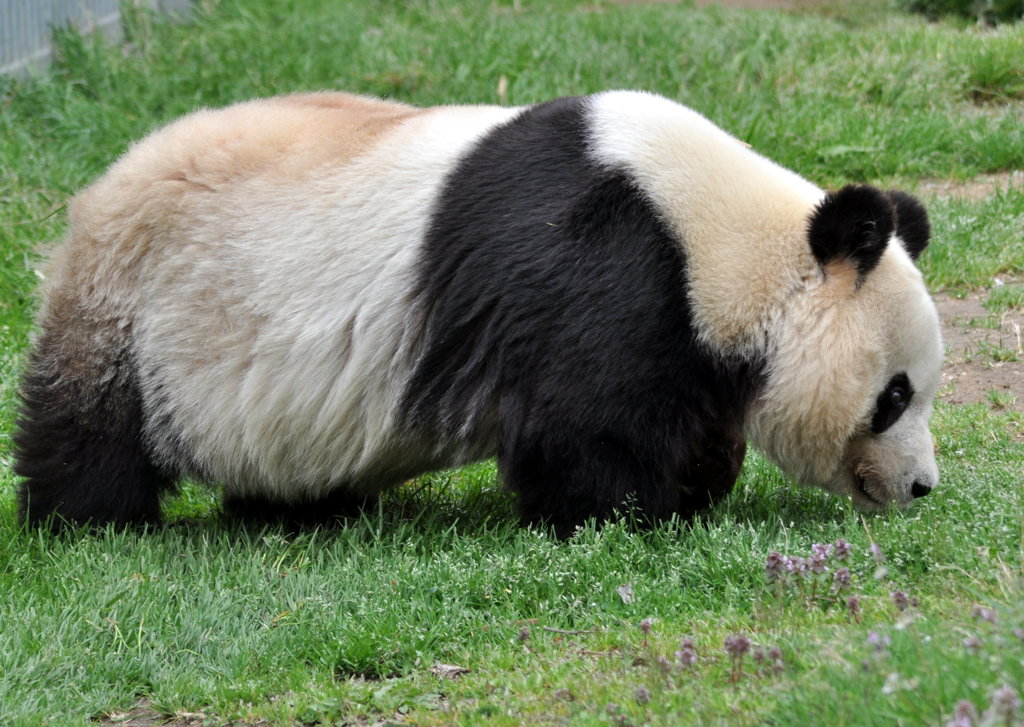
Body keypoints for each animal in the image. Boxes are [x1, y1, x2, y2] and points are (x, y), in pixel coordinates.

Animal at [16, 91, 942, 536]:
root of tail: (97, 190)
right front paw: (636, 512)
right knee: (91, 432)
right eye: (895, 395)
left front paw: (699, 479)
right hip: (133, 306)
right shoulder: (604, 267)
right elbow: (585, 427)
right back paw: (91, 524)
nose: (922, 486)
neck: (722, 239)